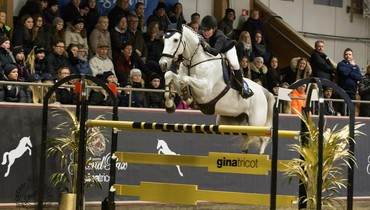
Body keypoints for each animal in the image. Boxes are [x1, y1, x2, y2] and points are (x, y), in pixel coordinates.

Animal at [158, 24, 276, 153]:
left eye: (175, 40)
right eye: (163, 39)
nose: (163, 63)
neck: (193, 61)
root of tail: (264, 91)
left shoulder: (204, 90)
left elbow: (184, 79)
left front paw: (187, 97)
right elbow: (170, 75)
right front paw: (170, 104)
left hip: (256, 123)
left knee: (263, 138)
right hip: (232, 121)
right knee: (247, 138)